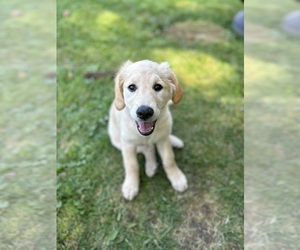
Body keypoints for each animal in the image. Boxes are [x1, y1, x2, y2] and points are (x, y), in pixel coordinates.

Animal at [108, 59, 188, 200]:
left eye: (158, 87)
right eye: (132, 87)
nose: (144, 112)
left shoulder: (162, 140)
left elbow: (169, 160)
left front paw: (177, 177)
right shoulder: (128, 144)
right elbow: (132, 165)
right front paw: (131, 185)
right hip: (117, 142)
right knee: (147, 148)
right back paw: (151, 166)